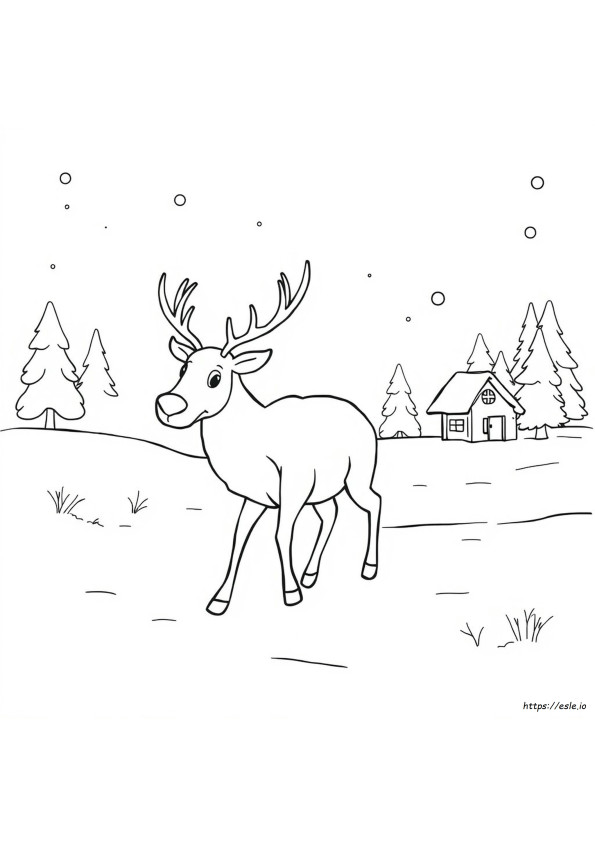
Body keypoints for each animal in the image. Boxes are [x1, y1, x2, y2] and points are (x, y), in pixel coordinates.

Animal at [155, 260, 381, 615]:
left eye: (215, 377)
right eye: (183, 369)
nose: (167, 405)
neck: (253, 449)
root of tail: (365, 420)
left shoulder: (293, 486)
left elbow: (280, 534)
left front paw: (291, 593)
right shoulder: (257, 496)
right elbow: (239, 538)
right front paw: (219, 600)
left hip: (358, 474)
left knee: (375, 501)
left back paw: (368, 568)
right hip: (324, 489)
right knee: (331, 514)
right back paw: (311, 573)